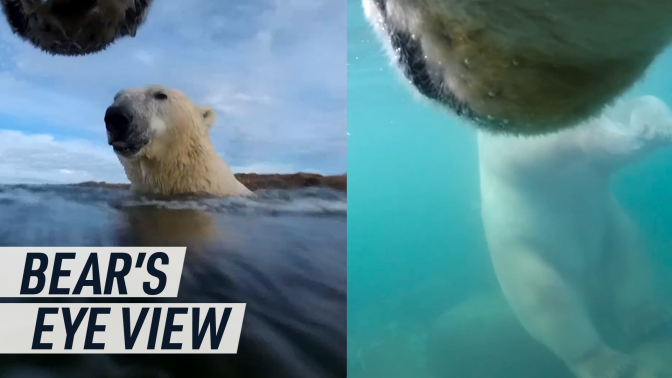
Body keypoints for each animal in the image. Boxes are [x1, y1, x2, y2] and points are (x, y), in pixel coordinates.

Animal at [478, 94, 672, 378]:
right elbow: (535, 147)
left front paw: (655, 123)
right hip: (524, 256)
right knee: (552, 304)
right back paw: (611, 364)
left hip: (611, 227)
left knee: (628, 261)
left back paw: (650, 320)